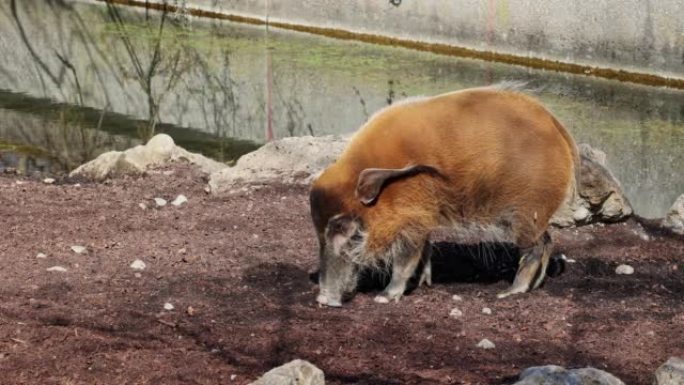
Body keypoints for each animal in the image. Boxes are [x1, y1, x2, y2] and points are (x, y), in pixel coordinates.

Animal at [310, 84, 576, 306]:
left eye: (343, 229)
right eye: (320, 232)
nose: (323, 300)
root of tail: (558, 128)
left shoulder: (411, 219)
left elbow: (406, 258)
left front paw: (385, 297)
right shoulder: (422, 215)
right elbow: (425, 251)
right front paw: (423, 283)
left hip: (526, 215)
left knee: (535, 248)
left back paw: (510, 292)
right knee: (548, 240)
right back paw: (535, 285)